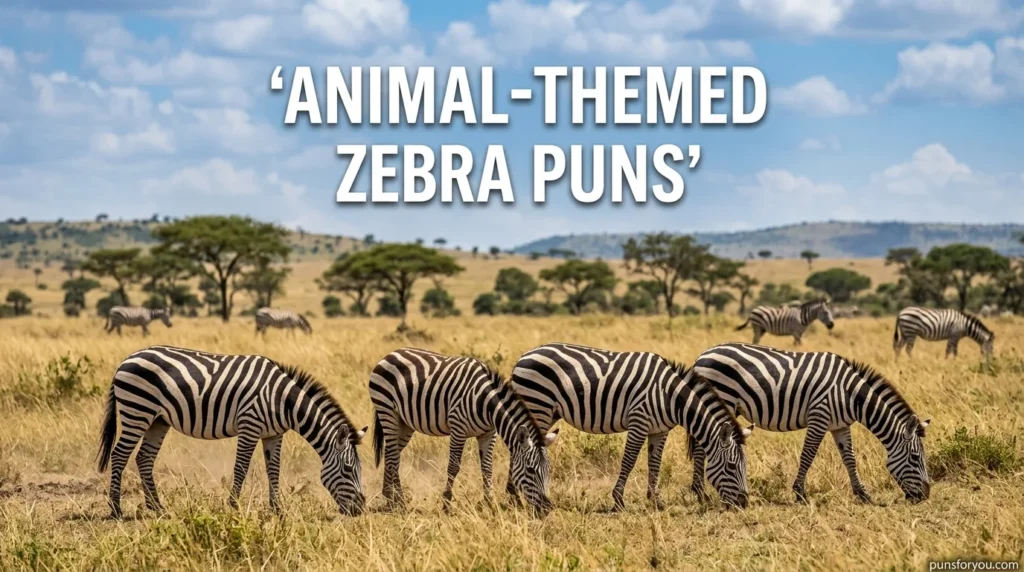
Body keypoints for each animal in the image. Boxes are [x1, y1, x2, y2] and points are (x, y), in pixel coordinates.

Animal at [96, 345, 367, 519]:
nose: (360, 509)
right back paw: (116, 509)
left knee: (144, 458)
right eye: (348, 469)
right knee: (119, 455)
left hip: (157, 420)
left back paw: (157, 508)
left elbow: (274, 470)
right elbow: (241, 467)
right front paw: (234, 507)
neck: (282, 401)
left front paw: (277, 510)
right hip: (137, 410)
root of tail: (126, 360)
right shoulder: (250, 424)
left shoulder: (273, 434)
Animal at [368, 348, 558, 516]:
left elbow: (487, 468)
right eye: (530, 470)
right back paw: (398, 502)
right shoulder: (458, 428)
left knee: (391, 453)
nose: (546, 509)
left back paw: (390, 497)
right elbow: (453, 467)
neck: (486, 404)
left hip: (404, 423)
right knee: (393, 456)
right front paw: (446, 503)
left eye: (548, 470)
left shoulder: (488, 434)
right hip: (387, 411)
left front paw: (490, 503)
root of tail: (391, 353)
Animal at [510, 343, 752, 511]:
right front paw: (618, 501)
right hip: (537, 406)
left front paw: (656, 501)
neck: (669, 396)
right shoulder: (639, 421)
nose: (744, 503)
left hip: (548, 413)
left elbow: (655, 463)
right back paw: (515, 497)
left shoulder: (659, 430)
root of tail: (524, 356)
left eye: (745, 465)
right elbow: (629, 460)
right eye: (731, 466)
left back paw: (515, 496)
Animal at [692, 342, 931, 504]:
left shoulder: (840, 425)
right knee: (700, 448)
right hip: (721, 400)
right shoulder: (820, 415)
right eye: (915, 457)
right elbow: (808, 454)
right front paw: (800, 493)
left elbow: (849, 459)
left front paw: (863, 494)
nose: (925, 495)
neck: (849, 393)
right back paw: (699, 492)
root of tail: (703, 354)